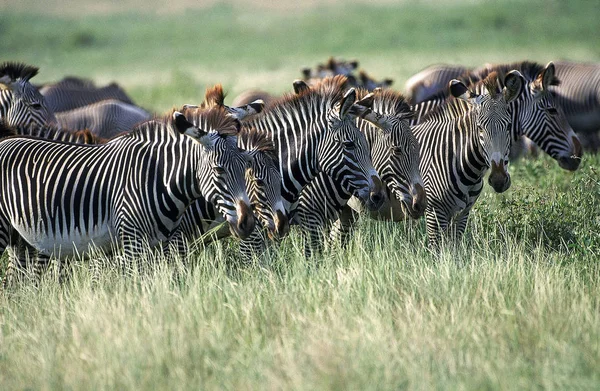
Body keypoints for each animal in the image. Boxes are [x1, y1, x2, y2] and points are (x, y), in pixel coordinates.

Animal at [0, 108, 253, 286]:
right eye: (219, 170)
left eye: (246, 166)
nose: (247, 223)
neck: (159, 178)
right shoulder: (132, 241)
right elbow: (135, 286)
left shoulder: (164, 245)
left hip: (22, 240)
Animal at [412, 72, 524, 247]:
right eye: (479, 128)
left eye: (508, 126)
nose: (498, 180)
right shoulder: (433, 212)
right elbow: (437, 250)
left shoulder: (462, 213)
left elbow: (455, 248)